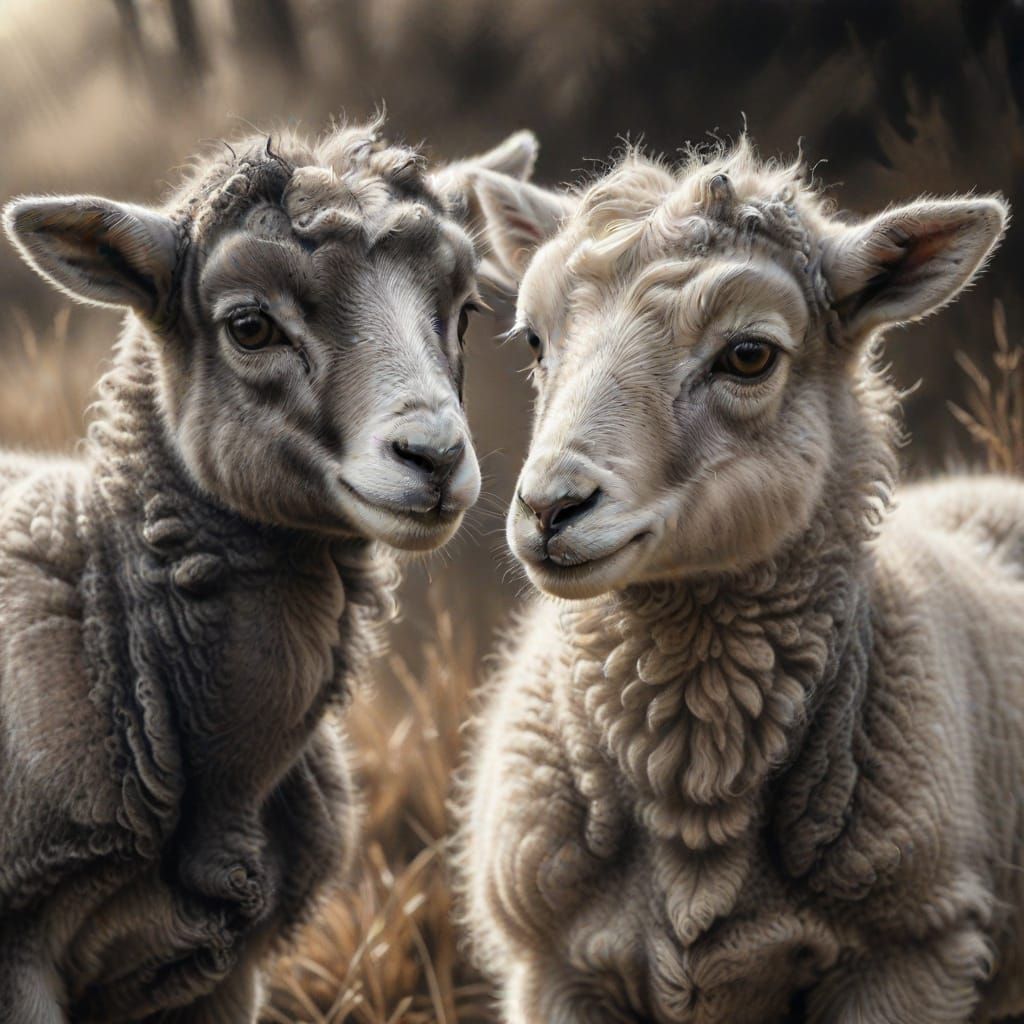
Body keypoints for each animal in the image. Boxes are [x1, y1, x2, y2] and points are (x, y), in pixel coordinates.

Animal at [456, 141, 1024, 1023]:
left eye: (749, 355)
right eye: (534, 343)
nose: (552, 507)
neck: (696, 791)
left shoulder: (914, 952)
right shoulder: (551, 967)